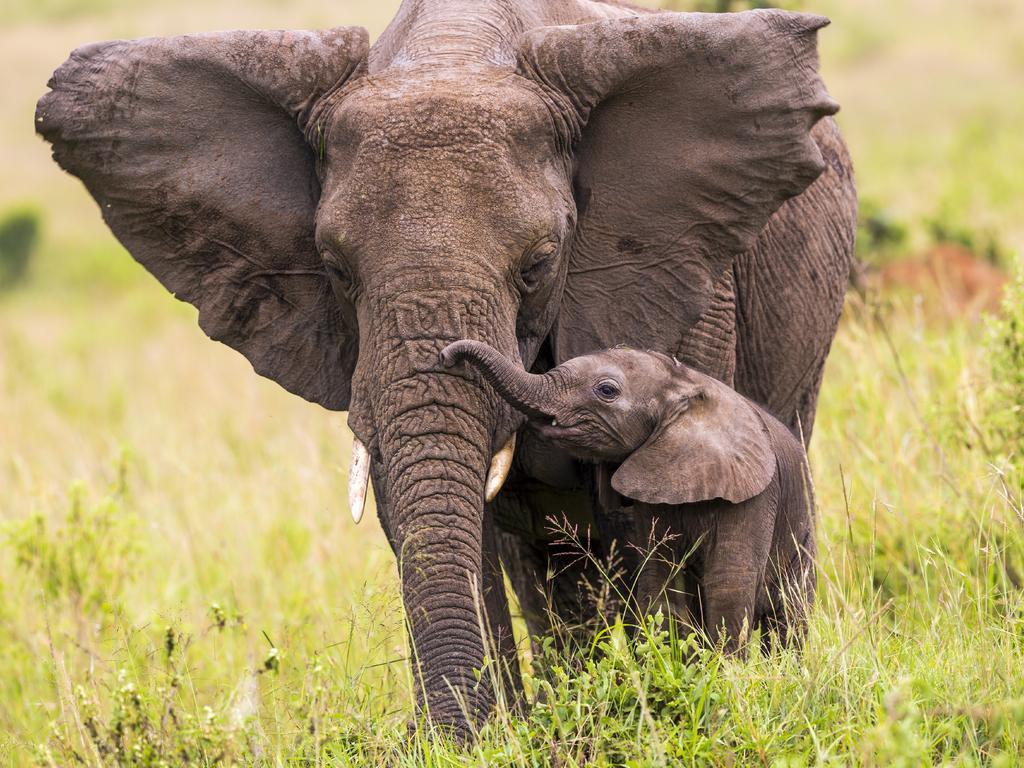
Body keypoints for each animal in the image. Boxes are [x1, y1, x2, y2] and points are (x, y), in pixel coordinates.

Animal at [440, 342, 815, 651]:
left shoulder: (753, 497)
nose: (446, 356)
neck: (686, 386)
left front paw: (725, 672)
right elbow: (659, 578)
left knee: (789, 615)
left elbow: (729, 585)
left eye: (607, 390)